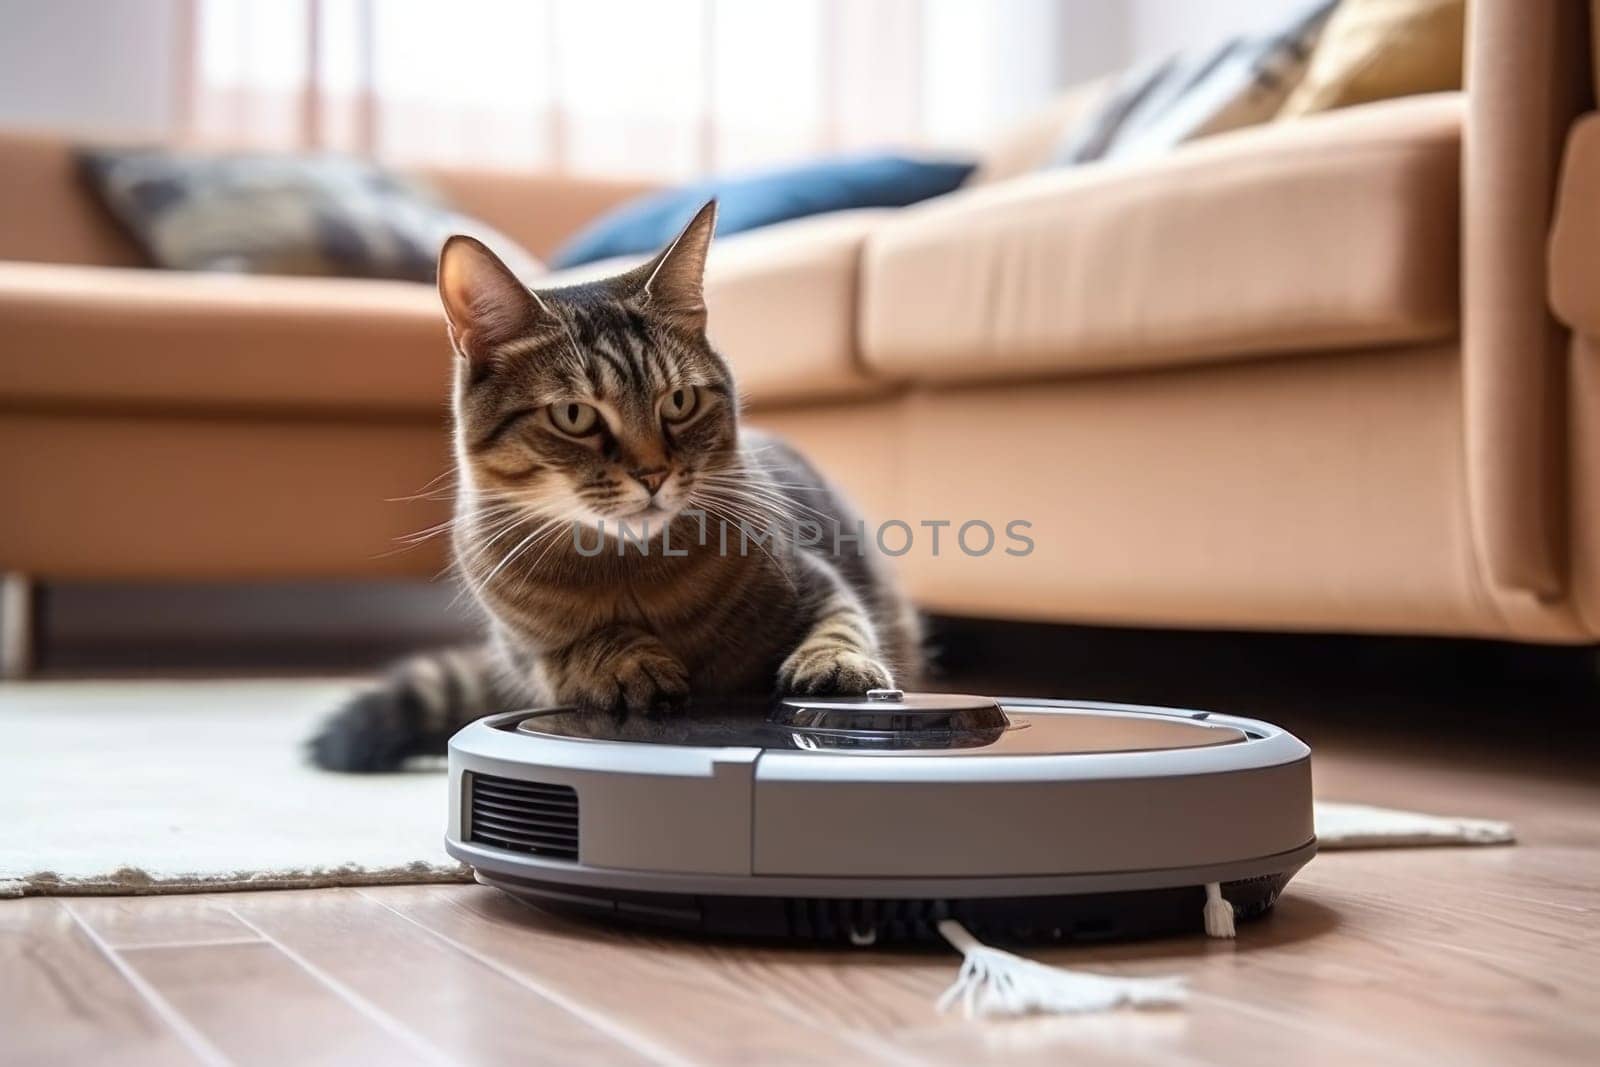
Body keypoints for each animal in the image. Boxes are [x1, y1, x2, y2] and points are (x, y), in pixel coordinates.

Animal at [307, 202, 921, 767]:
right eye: (575, 415)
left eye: (679, 401)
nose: (653, 473)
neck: (630, 569)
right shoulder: (525, 651)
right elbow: (573, 648)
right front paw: (629, 659)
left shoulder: (815, 577)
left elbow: (843, 621)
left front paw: (836, 665)